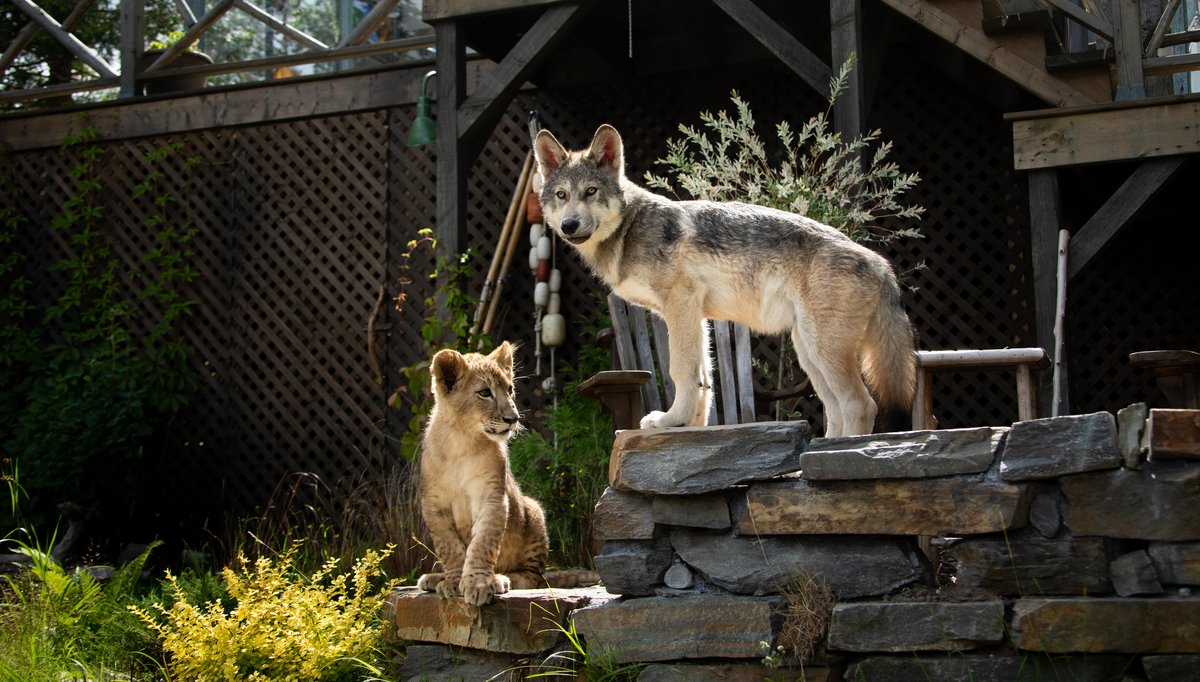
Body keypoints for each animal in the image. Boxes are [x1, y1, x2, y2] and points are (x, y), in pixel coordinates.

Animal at [532, 124, 916, 437]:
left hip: (823, 350)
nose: (568, 226)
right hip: (809, 352)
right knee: (835, 409)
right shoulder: (695, 315)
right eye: (562, 195)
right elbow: (704, 378)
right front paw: (692, 427)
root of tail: (882, 264)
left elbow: (681, 371)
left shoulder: (680, 305)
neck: (629, 228)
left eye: (591, 192)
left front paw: (670, 421)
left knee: (861, 405)